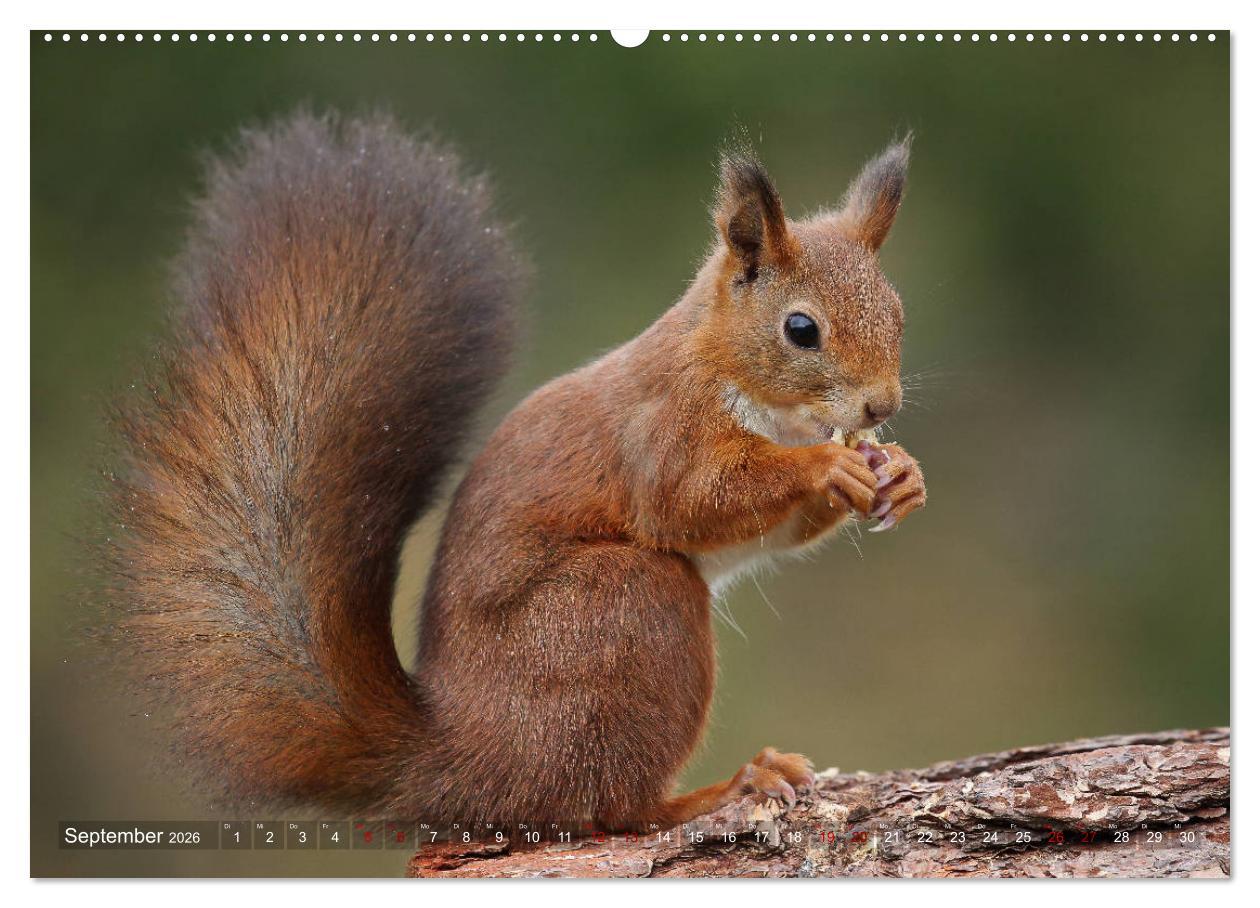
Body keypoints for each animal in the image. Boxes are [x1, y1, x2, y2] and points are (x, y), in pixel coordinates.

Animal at [105, 111, 926, 830]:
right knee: (613, 808)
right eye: (801, 329)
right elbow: (691, 500)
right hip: (627, 609)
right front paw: (828, 465)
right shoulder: (663, 430)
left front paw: (900, 476)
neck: (744, 382)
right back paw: (726, 789)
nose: (882, 405)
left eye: (898, 312)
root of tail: (462, 759)